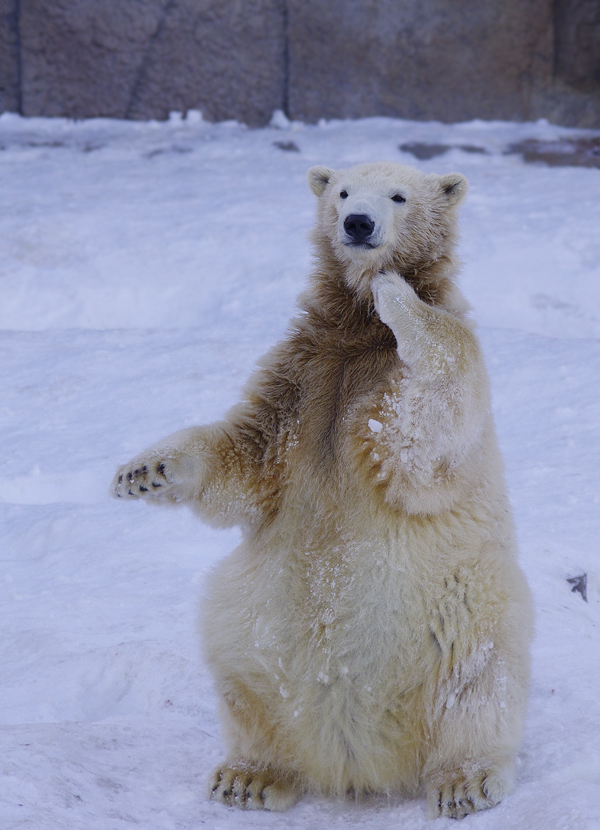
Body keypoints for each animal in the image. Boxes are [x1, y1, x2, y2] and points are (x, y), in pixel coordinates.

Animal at [111, 161, 528, 820]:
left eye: (398, 195)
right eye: (342, 191)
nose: (357, 223)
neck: (355, 332)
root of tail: (355, 762)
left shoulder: (389, 378)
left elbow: (424, 429)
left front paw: (394, 293)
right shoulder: (303, 379)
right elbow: (245, 457)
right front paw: (140, 472)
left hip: (462, 608)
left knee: (477, 680)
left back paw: (466, 780)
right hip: (251, 622)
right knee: (242, 674)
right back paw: (249, 777)